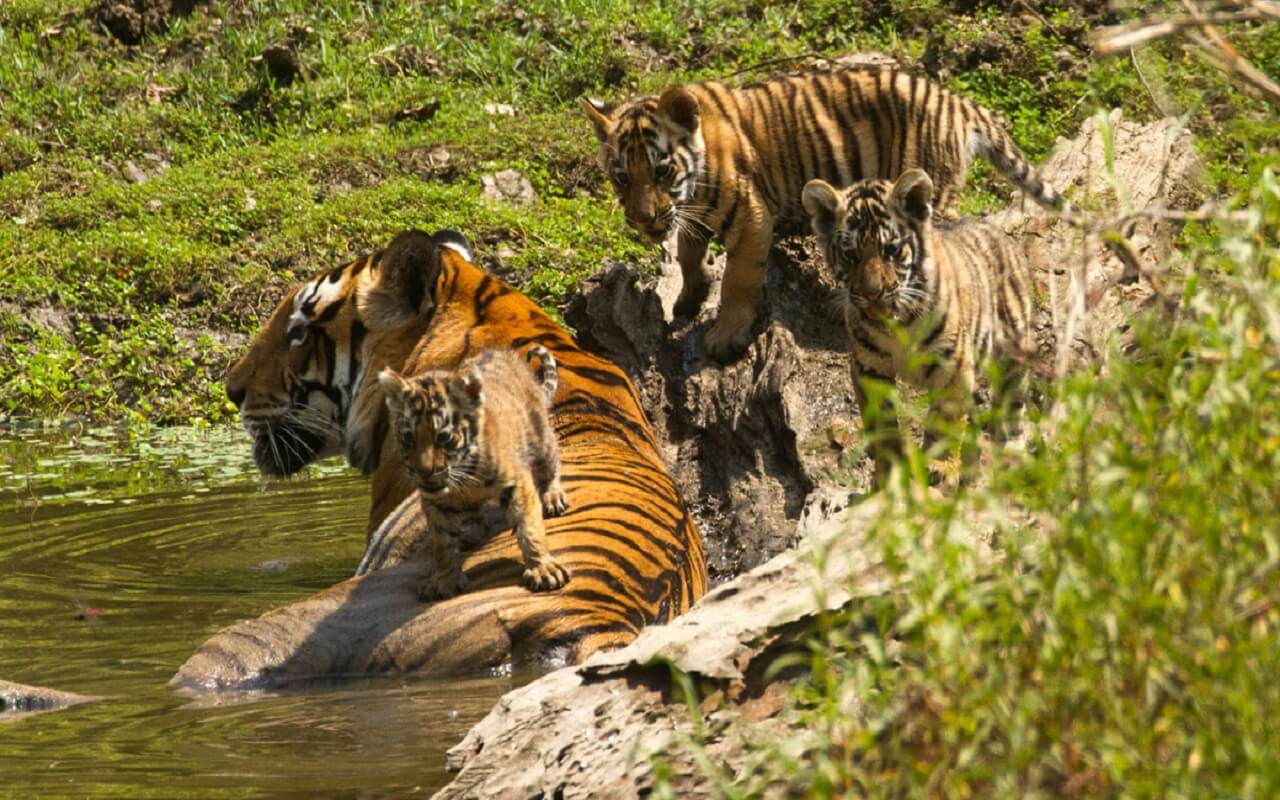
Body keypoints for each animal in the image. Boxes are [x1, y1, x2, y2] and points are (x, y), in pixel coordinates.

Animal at [378, 345, 571, 601]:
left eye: (444, 437)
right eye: (408, 438)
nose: (424, 472)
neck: (464, 476)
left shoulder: (516, 481)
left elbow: (529, 526)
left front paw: (543, 568)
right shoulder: (435, 501)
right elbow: (442, 543)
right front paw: (444, 580)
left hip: (539, 436)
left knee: (550, 463)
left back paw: (553, 496)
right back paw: (471, 531)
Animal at [580, 64, 1074, 362]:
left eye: (661, 171)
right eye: (622, 177)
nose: (644, 220)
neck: (694, 184)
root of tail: (956, 100)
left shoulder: (751, 214)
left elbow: (738, 278)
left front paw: (724, 335)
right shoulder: (692, 213)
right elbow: (686, 252)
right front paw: (688, 297)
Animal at [801, 168, 1034, 488]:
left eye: (891, 250)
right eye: (850, 255)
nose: (872, 293)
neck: (898, 325)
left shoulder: (952, 364)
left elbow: (945, 420)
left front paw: (940, 466)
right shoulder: (869, 368)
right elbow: (883, 427)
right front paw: (889, 475)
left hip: (1012, 353)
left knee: (1012, 406)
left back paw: (1010, 452)